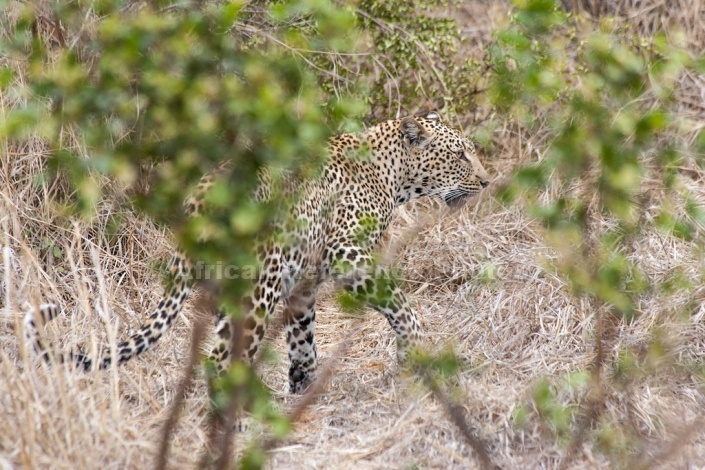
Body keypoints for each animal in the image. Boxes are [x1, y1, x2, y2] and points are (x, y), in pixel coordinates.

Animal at [26, 112, 490, 394]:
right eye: (460, 155)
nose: (487, 181)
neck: (392, 175)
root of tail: (198, 199)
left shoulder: (304, 282)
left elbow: (303, 340)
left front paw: (302, 390)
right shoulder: (346, 252)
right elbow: (398, 303)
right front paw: (414, 349)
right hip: (257, 289)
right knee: (223, 359)